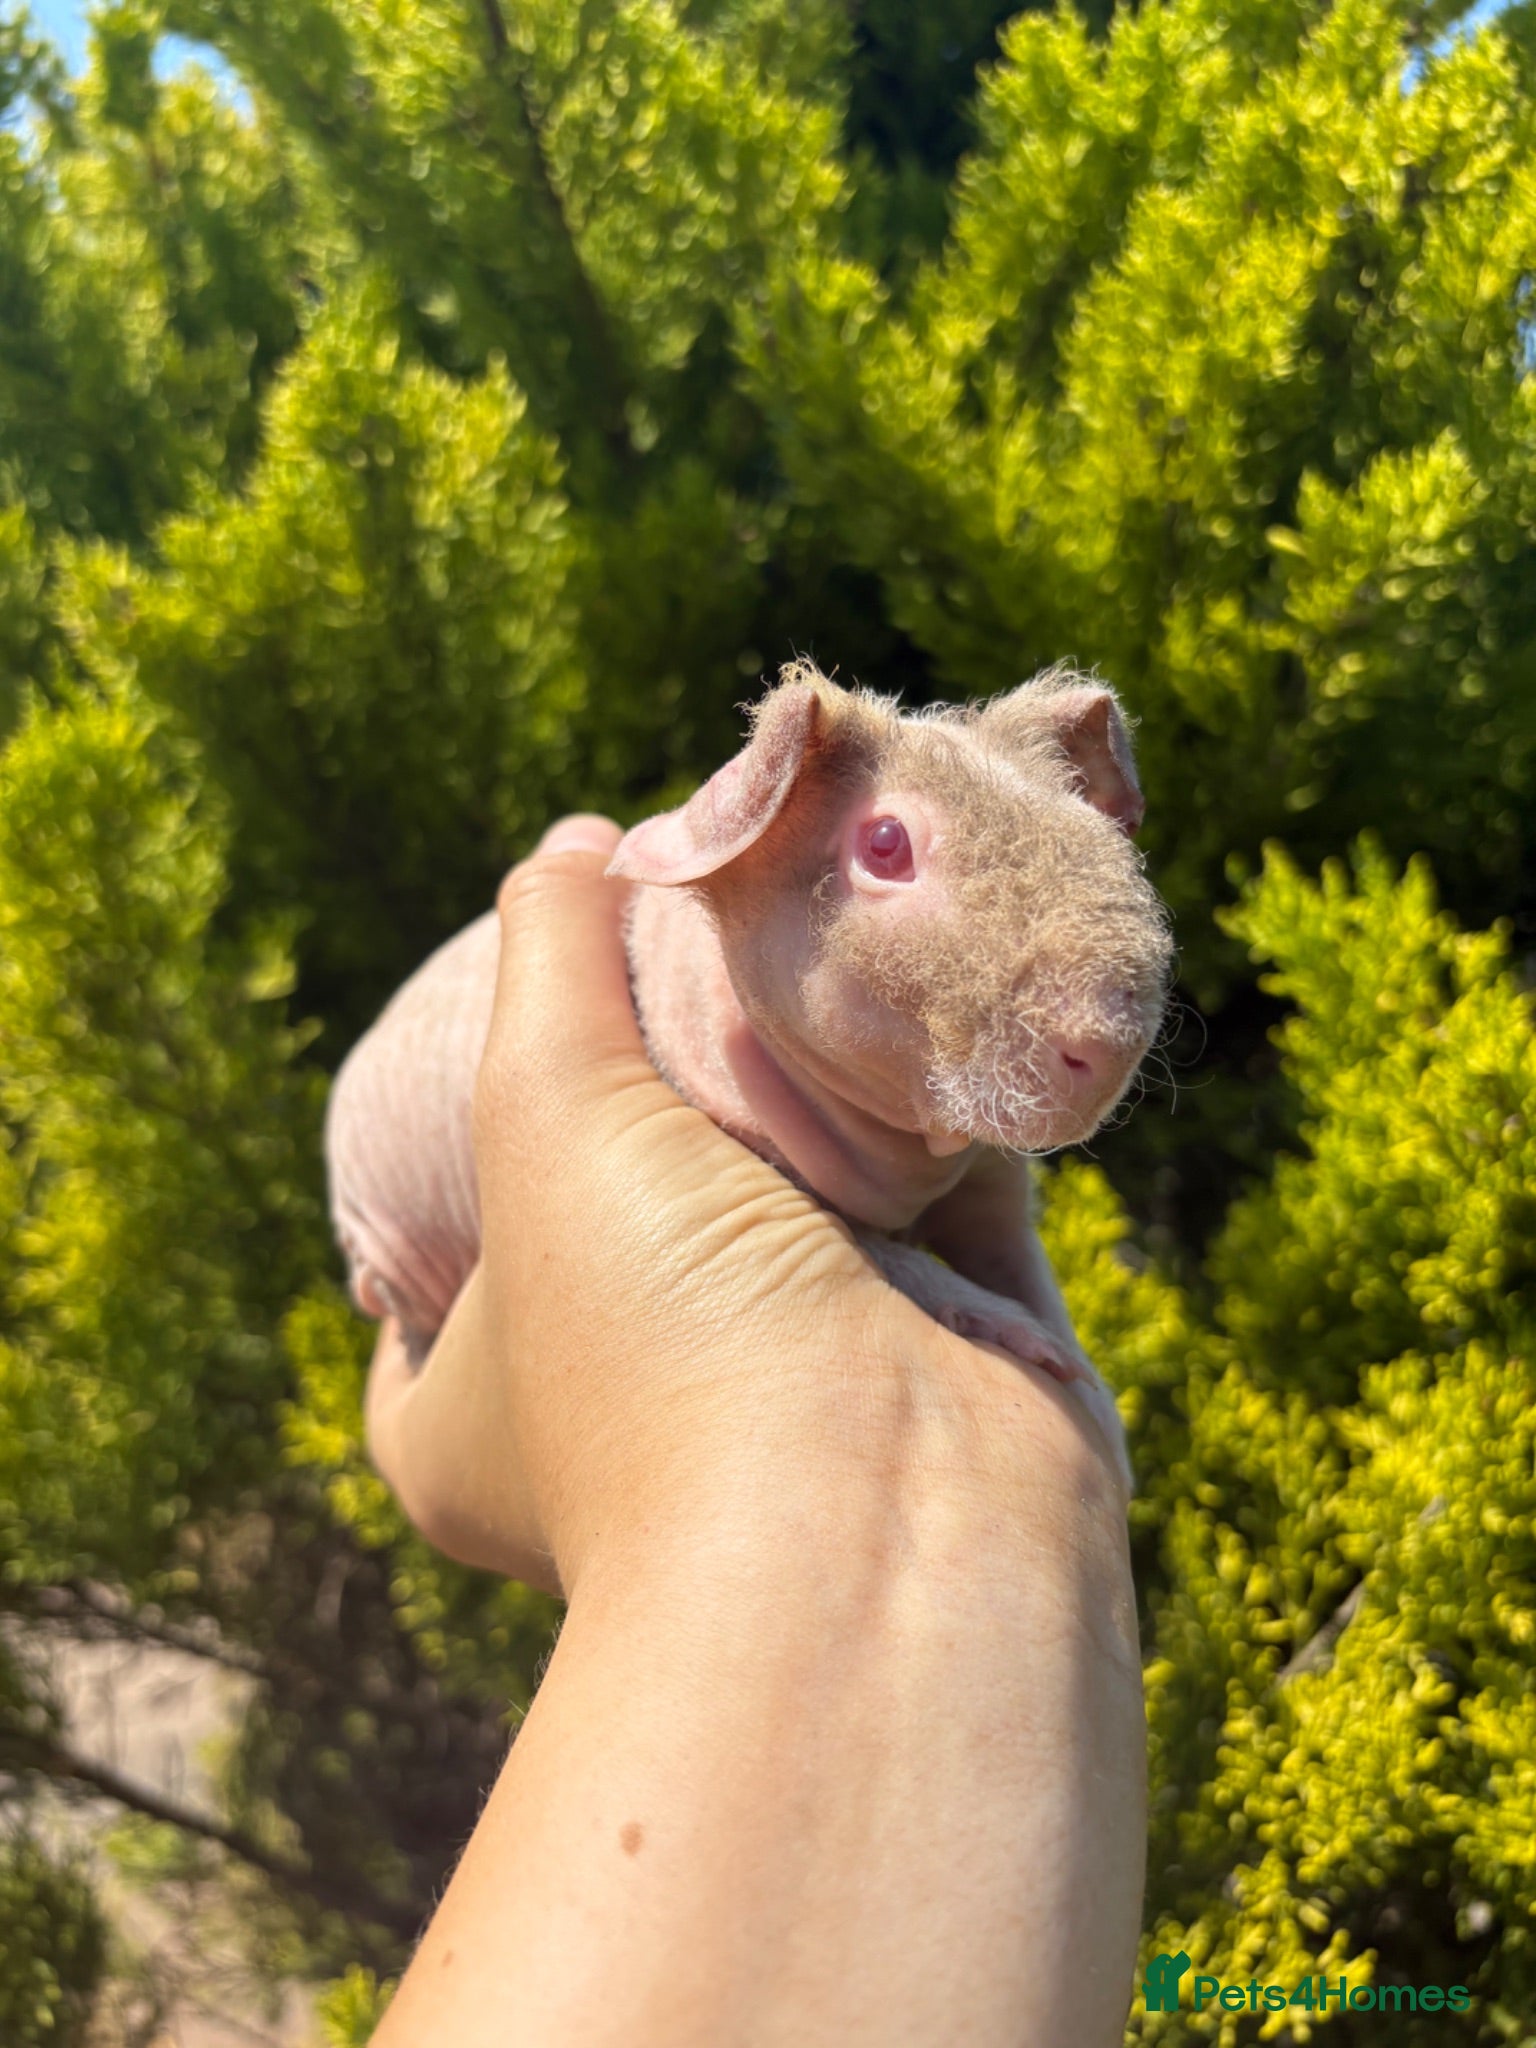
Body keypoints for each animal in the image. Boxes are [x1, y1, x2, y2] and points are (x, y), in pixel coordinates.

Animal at [325, 660, 1173, 1489]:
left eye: (1085, 819)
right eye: (886, 843)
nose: (1109, 1039)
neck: (912, 1162)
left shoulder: (990, 1190)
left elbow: (1022, 1266)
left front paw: (1103, 1419)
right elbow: (897, 1259)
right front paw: (1040, 1351)